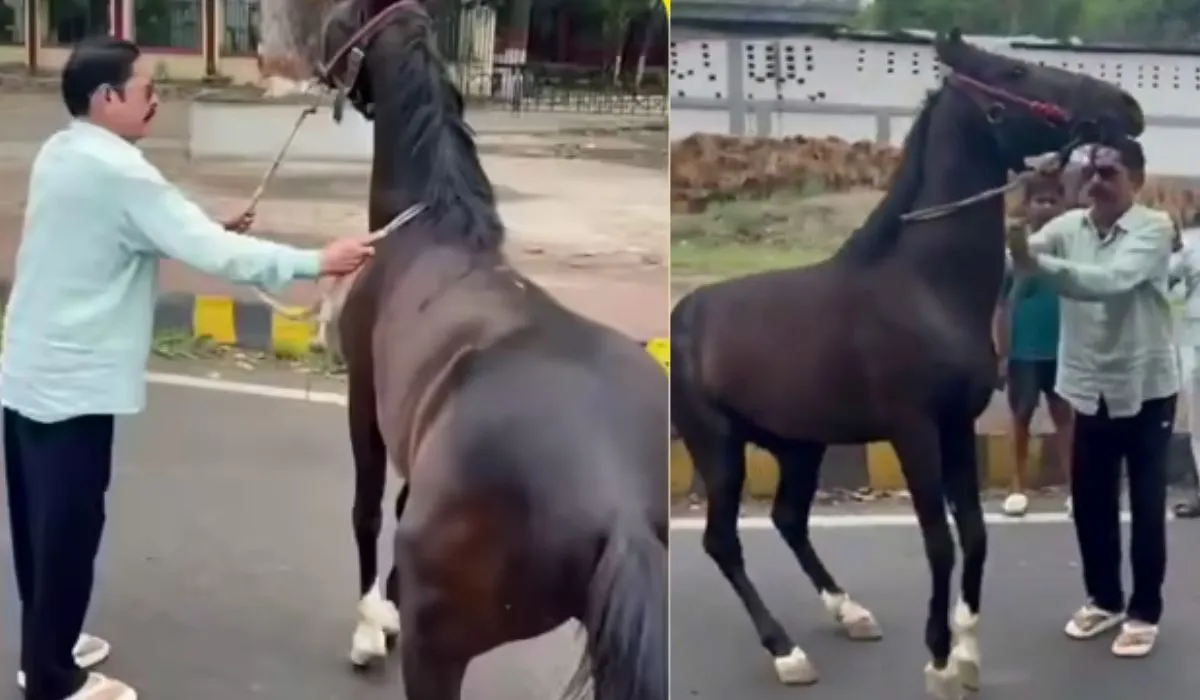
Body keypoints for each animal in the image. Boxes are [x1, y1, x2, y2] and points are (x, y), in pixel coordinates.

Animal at [313, 2, 669, 699]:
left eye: (342, 18)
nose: (315, 53)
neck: (425, 227)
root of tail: (617, 500)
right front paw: (386, 609)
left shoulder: (363, 396)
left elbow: (368, 511)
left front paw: (370, 626)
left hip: (440, 649)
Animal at [670, 30, 1144, 700]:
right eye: (1015, 71)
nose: (1126, 107)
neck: (924, 287)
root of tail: (684, 314)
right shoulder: (914, 430)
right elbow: (939, 542)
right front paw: (940, 660)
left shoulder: (956, 426)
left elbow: (974, 533)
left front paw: (967, 652)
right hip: (719, 450)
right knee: (723, 542)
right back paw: (786, 652)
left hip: (799, 445)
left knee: (789, 519)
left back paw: (850, 612)